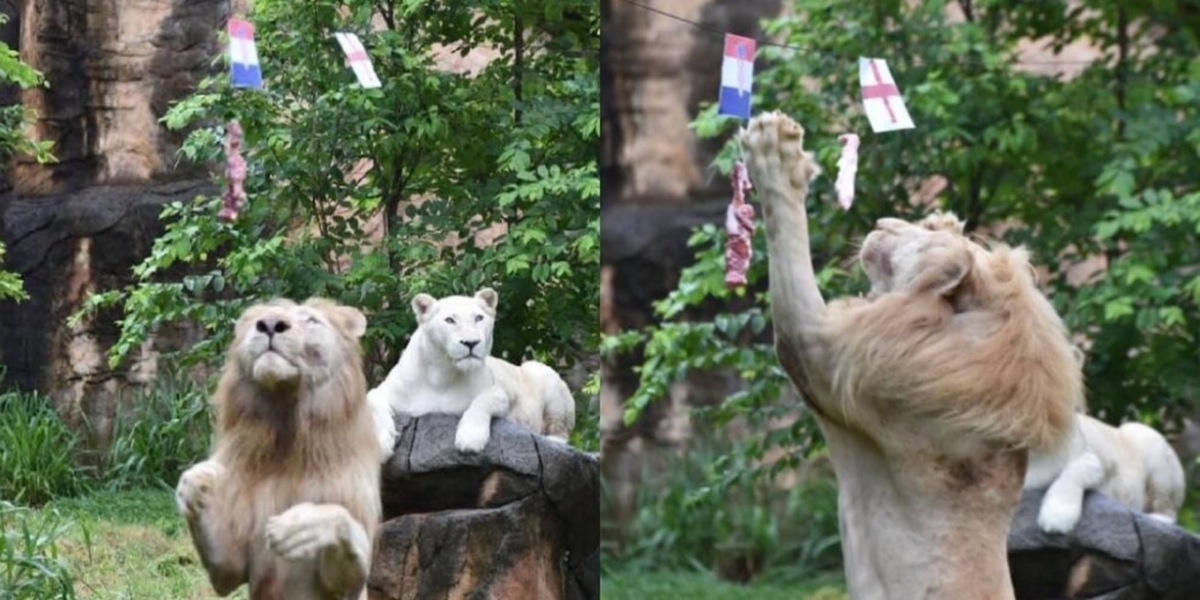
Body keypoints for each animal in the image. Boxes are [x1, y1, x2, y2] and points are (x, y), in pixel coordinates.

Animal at [175, 298, 380, 600]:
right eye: (259, 319)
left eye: (311, 320)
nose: (270, 324)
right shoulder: (230, 566)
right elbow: (227, 570)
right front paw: (198, 482)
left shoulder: (351, 583)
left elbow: (338, 519)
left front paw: (298, 526)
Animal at [368, 287, 576, 459]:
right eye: (450, 320)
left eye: (478, 318)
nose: (471, 342)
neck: (441, 375)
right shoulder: (380, 392)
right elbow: (375, 409)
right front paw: (382, 445)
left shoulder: (498, 392)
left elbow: (481, 403)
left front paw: (470, 440)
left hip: (542, 372)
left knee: (561, 431)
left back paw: (552, 441)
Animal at [1025, 412, 1185, 533]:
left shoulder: (1090, 458)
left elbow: (1074, 473)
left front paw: (1057, 518)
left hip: (1148, 441)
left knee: (1167, 507)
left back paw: (1153, 518)